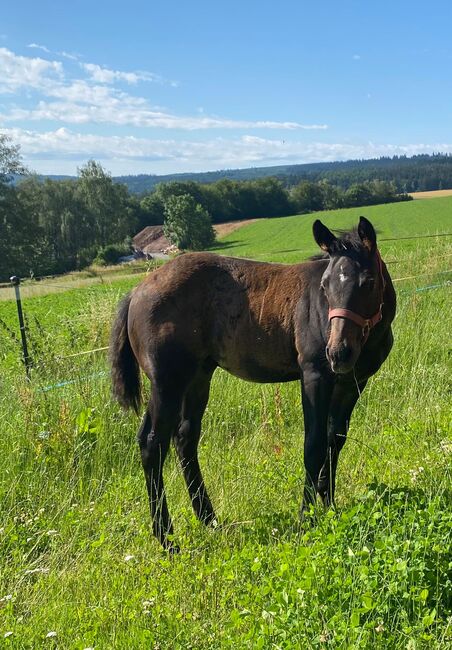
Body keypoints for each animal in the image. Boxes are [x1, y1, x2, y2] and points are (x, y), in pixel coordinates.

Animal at [110, 216, 396, 548]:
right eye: (325, 286)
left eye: (369, 282)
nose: (338, 353)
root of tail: (135, 293)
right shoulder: (314, 375)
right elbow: (313, 444)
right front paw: (307, 518)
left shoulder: (352, 382)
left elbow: (334, 440)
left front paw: (330, 507)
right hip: (166, 382)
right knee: (152, 443)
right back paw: (167, 539)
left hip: (197, 378)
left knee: (184, 438)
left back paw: (209, 519)